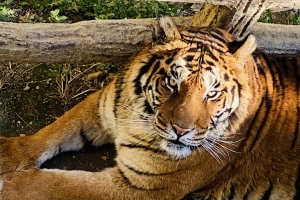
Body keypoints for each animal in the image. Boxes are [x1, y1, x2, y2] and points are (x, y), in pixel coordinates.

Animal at [0, 16, 300, 200]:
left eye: (212, 93)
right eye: (171, 82)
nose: (181, 131)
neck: (138, 115)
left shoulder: (141, 188)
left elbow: (60, 185)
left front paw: (9, 185)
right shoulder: (100, 108)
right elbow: (55, 130)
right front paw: (7, 152)